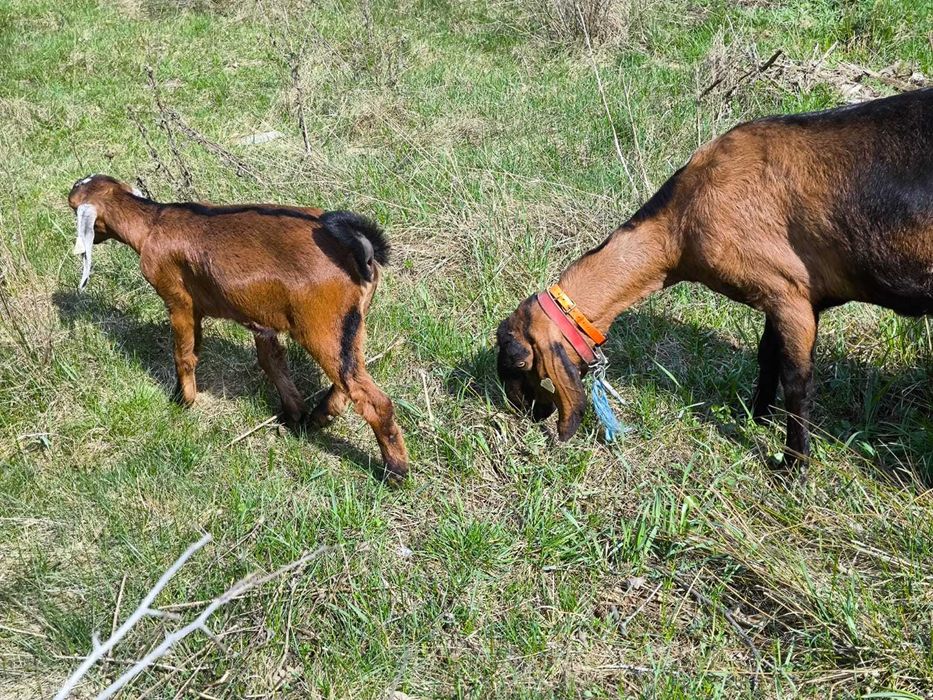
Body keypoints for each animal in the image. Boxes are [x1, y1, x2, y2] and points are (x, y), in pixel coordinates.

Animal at [68, 175, 408, 482]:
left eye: (73, 208)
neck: (154, 221)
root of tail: (359, 251)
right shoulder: (257, 318)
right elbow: (270, 360)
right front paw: (294, 414)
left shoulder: (178, 299)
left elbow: (184, 354)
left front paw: (182, 401)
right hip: (349, 326)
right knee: (349, 379)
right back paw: (319, 416)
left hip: (322, 326)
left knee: (374, 400)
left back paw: (396, 472)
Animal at [497, 87, 933, 469]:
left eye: (519, 362)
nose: (522, 412)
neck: (678, 225)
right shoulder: (776, 294)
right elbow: (766, 356)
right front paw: (755, 417)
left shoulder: (791, 296)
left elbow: (796, 382)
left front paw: (792, 466)